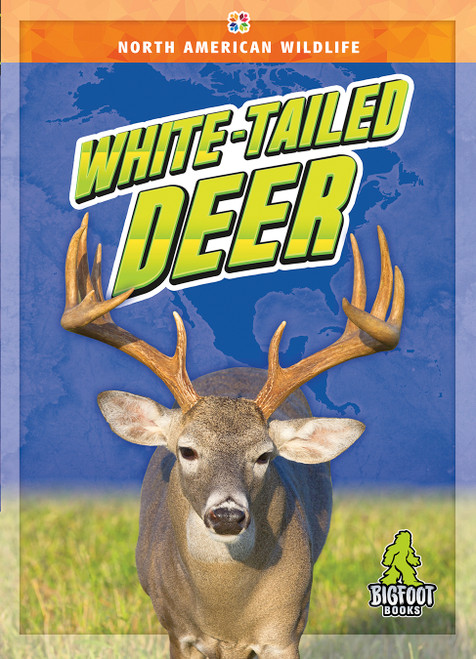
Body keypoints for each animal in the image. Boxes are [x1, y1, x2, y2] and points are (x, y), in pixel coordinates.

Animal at [61, 213, 404, 659]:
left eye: (265, 456)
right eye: (187, 450)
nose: (227, 515)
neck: (226, 612)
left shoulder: (285, 629)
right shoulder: (178, 631)